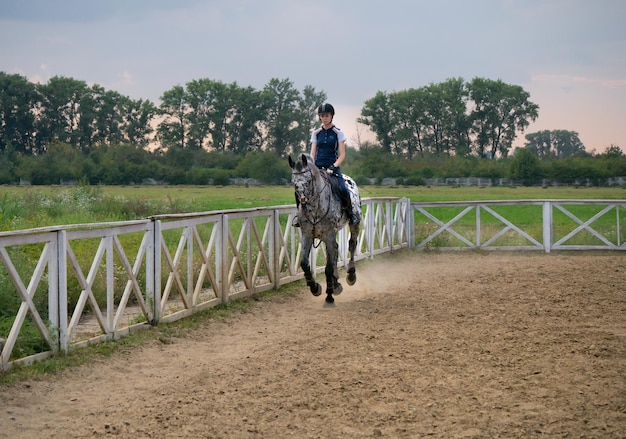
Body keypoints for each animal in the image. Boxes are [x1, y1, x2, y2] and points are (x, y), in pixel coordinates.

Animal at [288, 155, 360, 306]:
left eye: (308, 180)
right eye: (293, 182)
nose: (303, 200)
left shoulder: (329, 234)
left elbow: (328, 268)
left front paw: (329, 296)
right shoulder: (307, 235)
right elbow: (305, 264)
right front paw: (315, 287)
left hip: (354, 224)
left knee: (352, 245)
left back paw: (351, 275)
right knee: (335, 250)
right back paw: (336, 283)